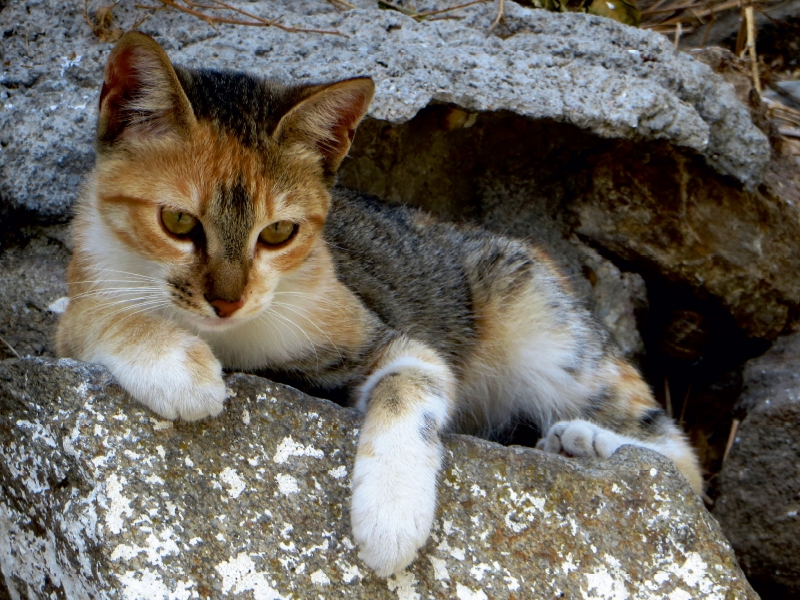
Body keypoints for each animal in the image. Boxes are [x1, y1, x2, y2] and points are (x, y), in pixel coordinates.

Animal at [57, 31, 700, 576]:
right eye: (178, 221)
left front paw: (389, 522)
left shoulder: (382, 335)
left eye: (279, 233)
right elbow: (92, 316)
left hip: (539, 319)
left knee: (678, 462)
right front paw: (181, 371)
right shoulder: (80, 297)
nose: (227, 301)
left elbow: (411, 383)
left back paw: (586, 440)